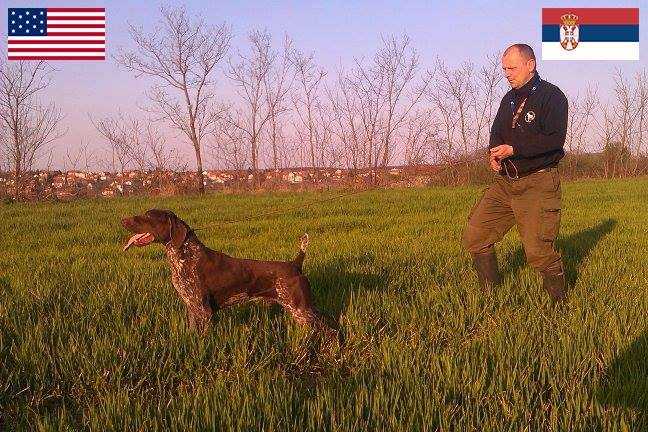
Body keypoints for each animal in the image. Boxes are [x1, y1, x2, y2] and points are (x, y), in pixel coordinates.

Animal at [121, 209, 336, 338]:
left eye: (148, 217)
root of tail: (295, 263)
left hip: (300, 309)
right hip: (302, 310)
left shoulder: (203, 310)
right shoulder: (191, 306)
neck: (183, 255)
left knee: (330, 331)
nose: (122, 219)